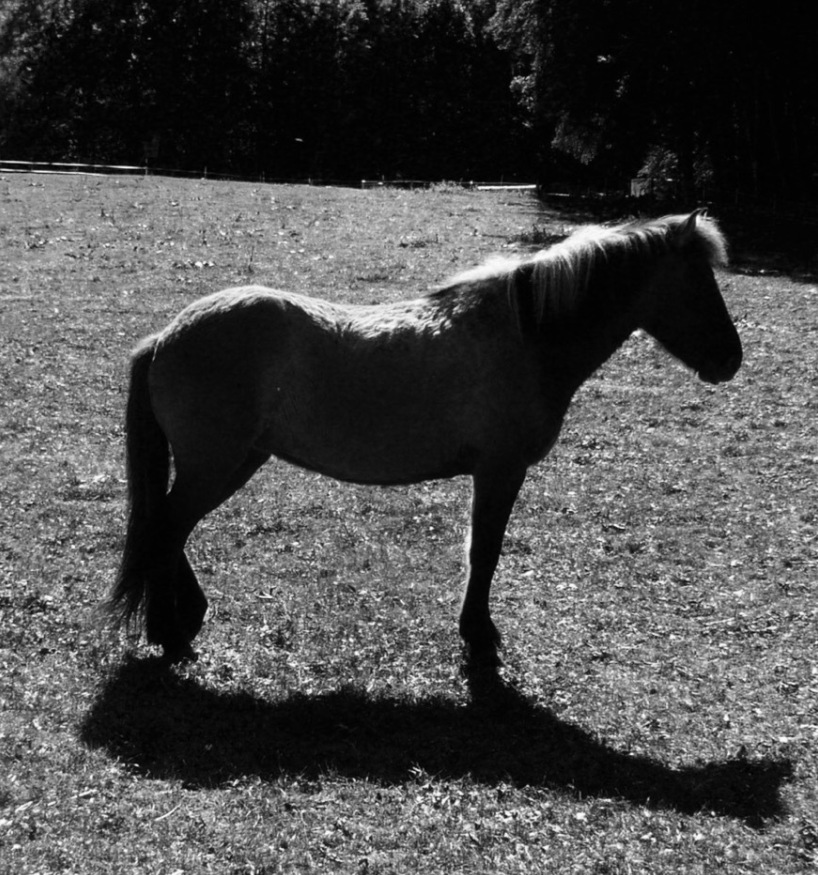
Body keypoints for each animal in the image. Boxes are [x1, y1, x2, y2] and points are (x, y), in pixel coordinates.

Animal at [108, 209, 742, 665]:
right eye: (697, 282)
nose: (730, 359)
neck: (523, 336)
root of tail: (166, 336)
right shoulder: (500, 470)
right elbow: (484, 551)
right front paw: (479, 637)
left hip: (233, 461)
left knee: (168, 531)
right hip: (216, 465)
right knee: (165, 530)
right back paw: (171, 631)